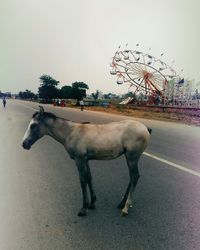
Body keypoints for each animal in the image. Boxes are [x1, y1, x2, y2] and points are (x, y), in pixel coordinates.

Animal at [21, 106, 152, 216]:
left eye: (33, 126)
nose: (24, 144)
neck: (71, 132)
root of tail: (145, 128)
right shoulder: (86, 160)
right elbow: (89, 178)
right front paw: (92, 203)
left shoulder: (79, 159)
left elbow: (82, 181)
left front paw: (83, 208)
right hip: (130, 158)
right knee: (132, 177)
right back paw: (122, 203)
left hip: (132, 157)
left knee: (134, 176)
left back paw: (125, 208)